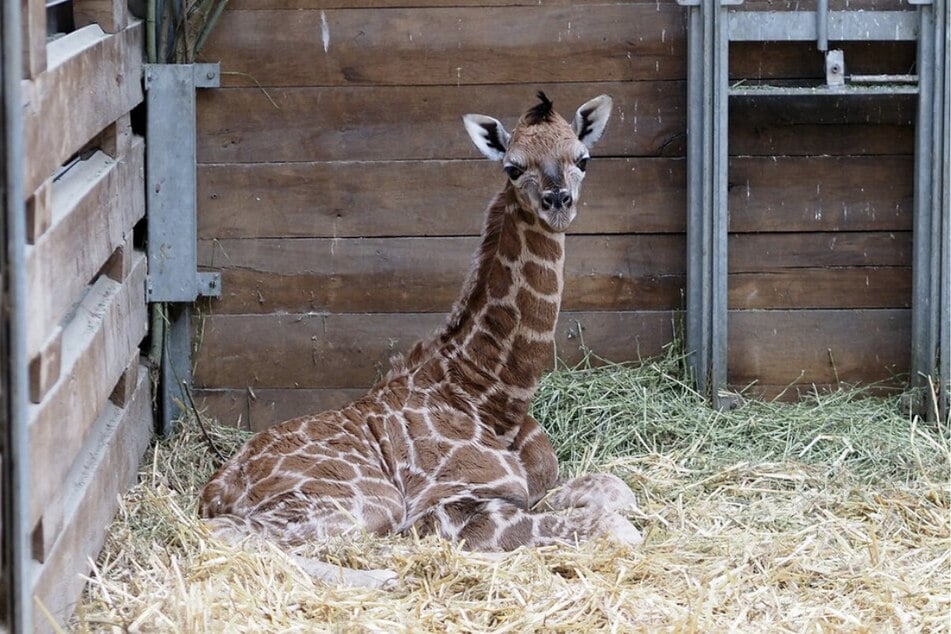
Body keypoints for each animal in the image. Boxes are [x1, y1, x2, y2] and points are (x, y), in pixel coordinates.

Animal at [202, 91, 648, 584]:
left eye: (583, 159)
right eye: (512, 167)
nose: (558, 202)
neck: (494, 400)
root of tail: (215, 490)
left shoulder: (536, 486)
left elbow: (618, 490)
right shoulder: (446, 508)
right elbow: (619, 528)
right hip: (369, 500)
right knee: (232, 534)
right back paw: (382, 577)